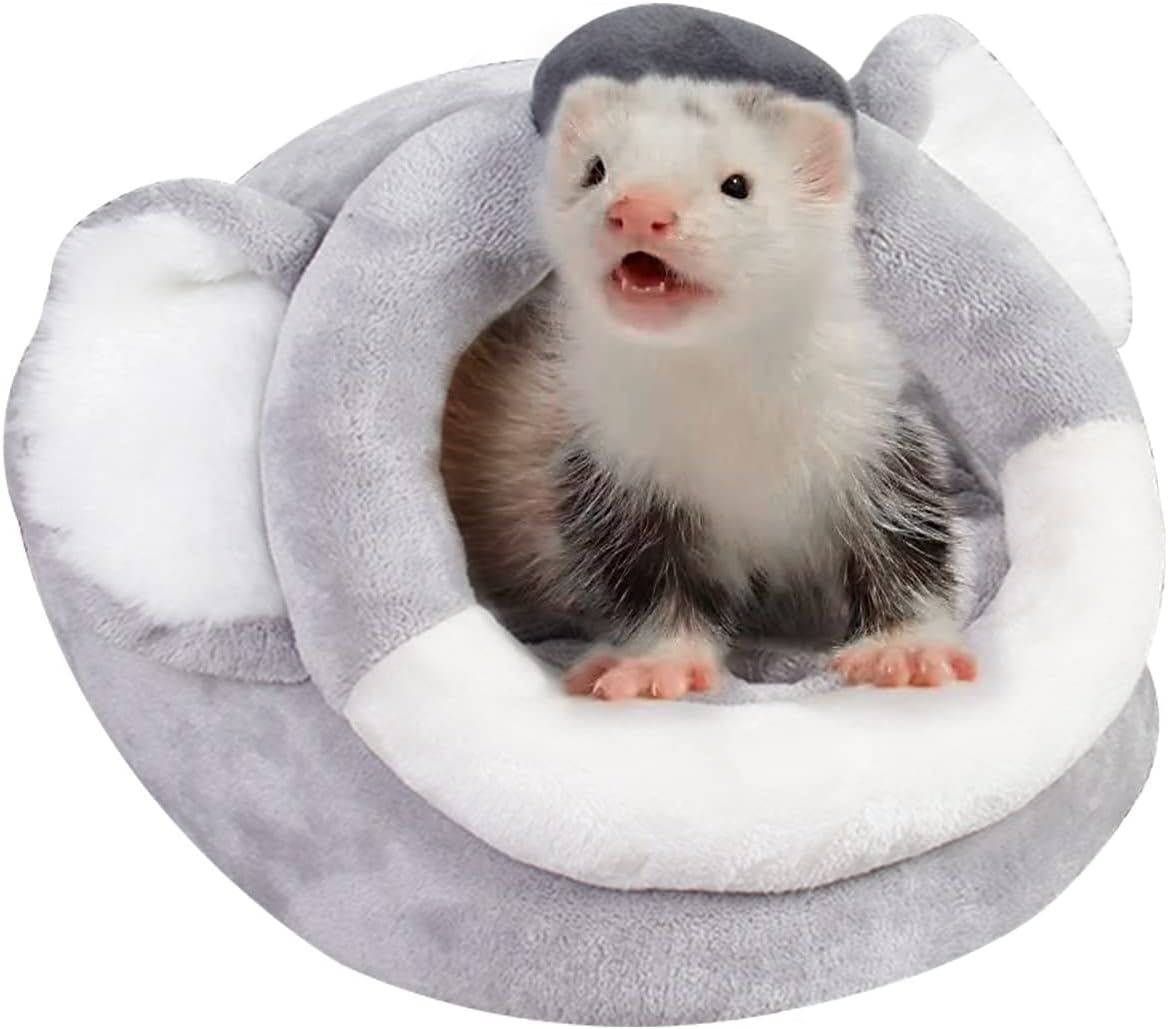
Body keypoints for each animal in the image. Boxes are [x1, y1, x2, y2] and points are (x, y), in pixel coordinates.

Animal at [441, 74, 977, 700]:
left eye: (737, 184)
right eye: (595, 168)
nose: (640, 209)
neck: (734, 431)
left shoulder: (878, 444)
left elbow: (907, 552)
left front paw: (908, 650)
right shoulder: (612, 480)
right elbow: (650, 589)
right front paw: (654, 665)